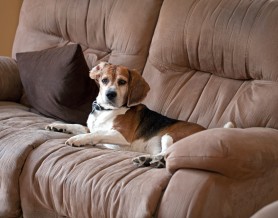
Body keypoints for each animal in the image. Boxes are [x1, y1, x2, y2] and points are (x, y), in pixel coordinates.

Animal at [46, 62, 207, 168]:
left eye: (122, 82)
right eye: (104, 80)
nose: (110, 94)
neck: (105, 110)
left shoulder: (122, 135)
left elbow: (96, 133)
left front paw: (78, 139)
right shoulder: (90, 127)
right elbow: (79, 126)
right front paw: (58, 126)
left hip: (169, 135)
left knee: (167, 153)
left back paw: (148, 160)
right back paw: (147, 160)